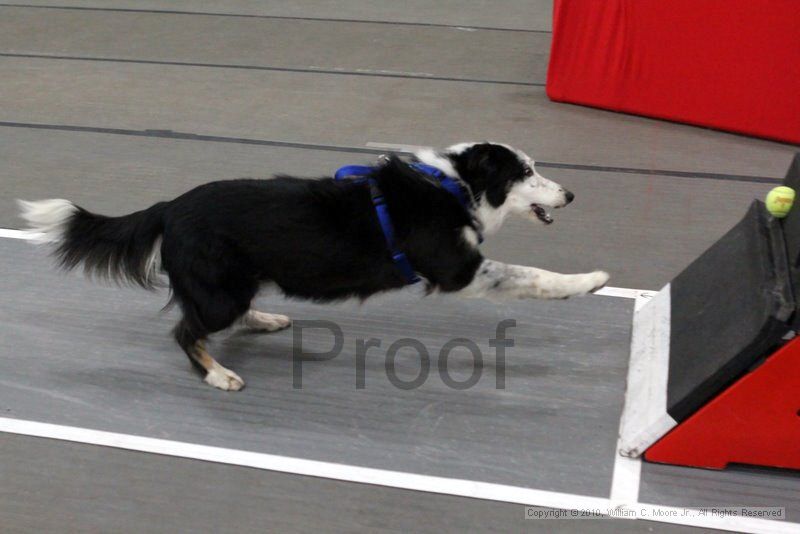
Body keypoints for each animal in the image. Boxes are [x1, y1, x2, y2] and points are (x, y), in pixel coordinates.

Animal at [18, 142, 608, 394]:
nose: (572, 194)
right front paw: (590, 281)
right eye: (525, 171)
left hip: (238, 281)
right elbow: (533, 276)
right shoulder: (457, 270)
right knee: (186, 331)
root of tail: (168, 207)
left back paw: (264, 320)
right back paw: (219, 374)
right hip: (220, 291)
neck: (453, 184)